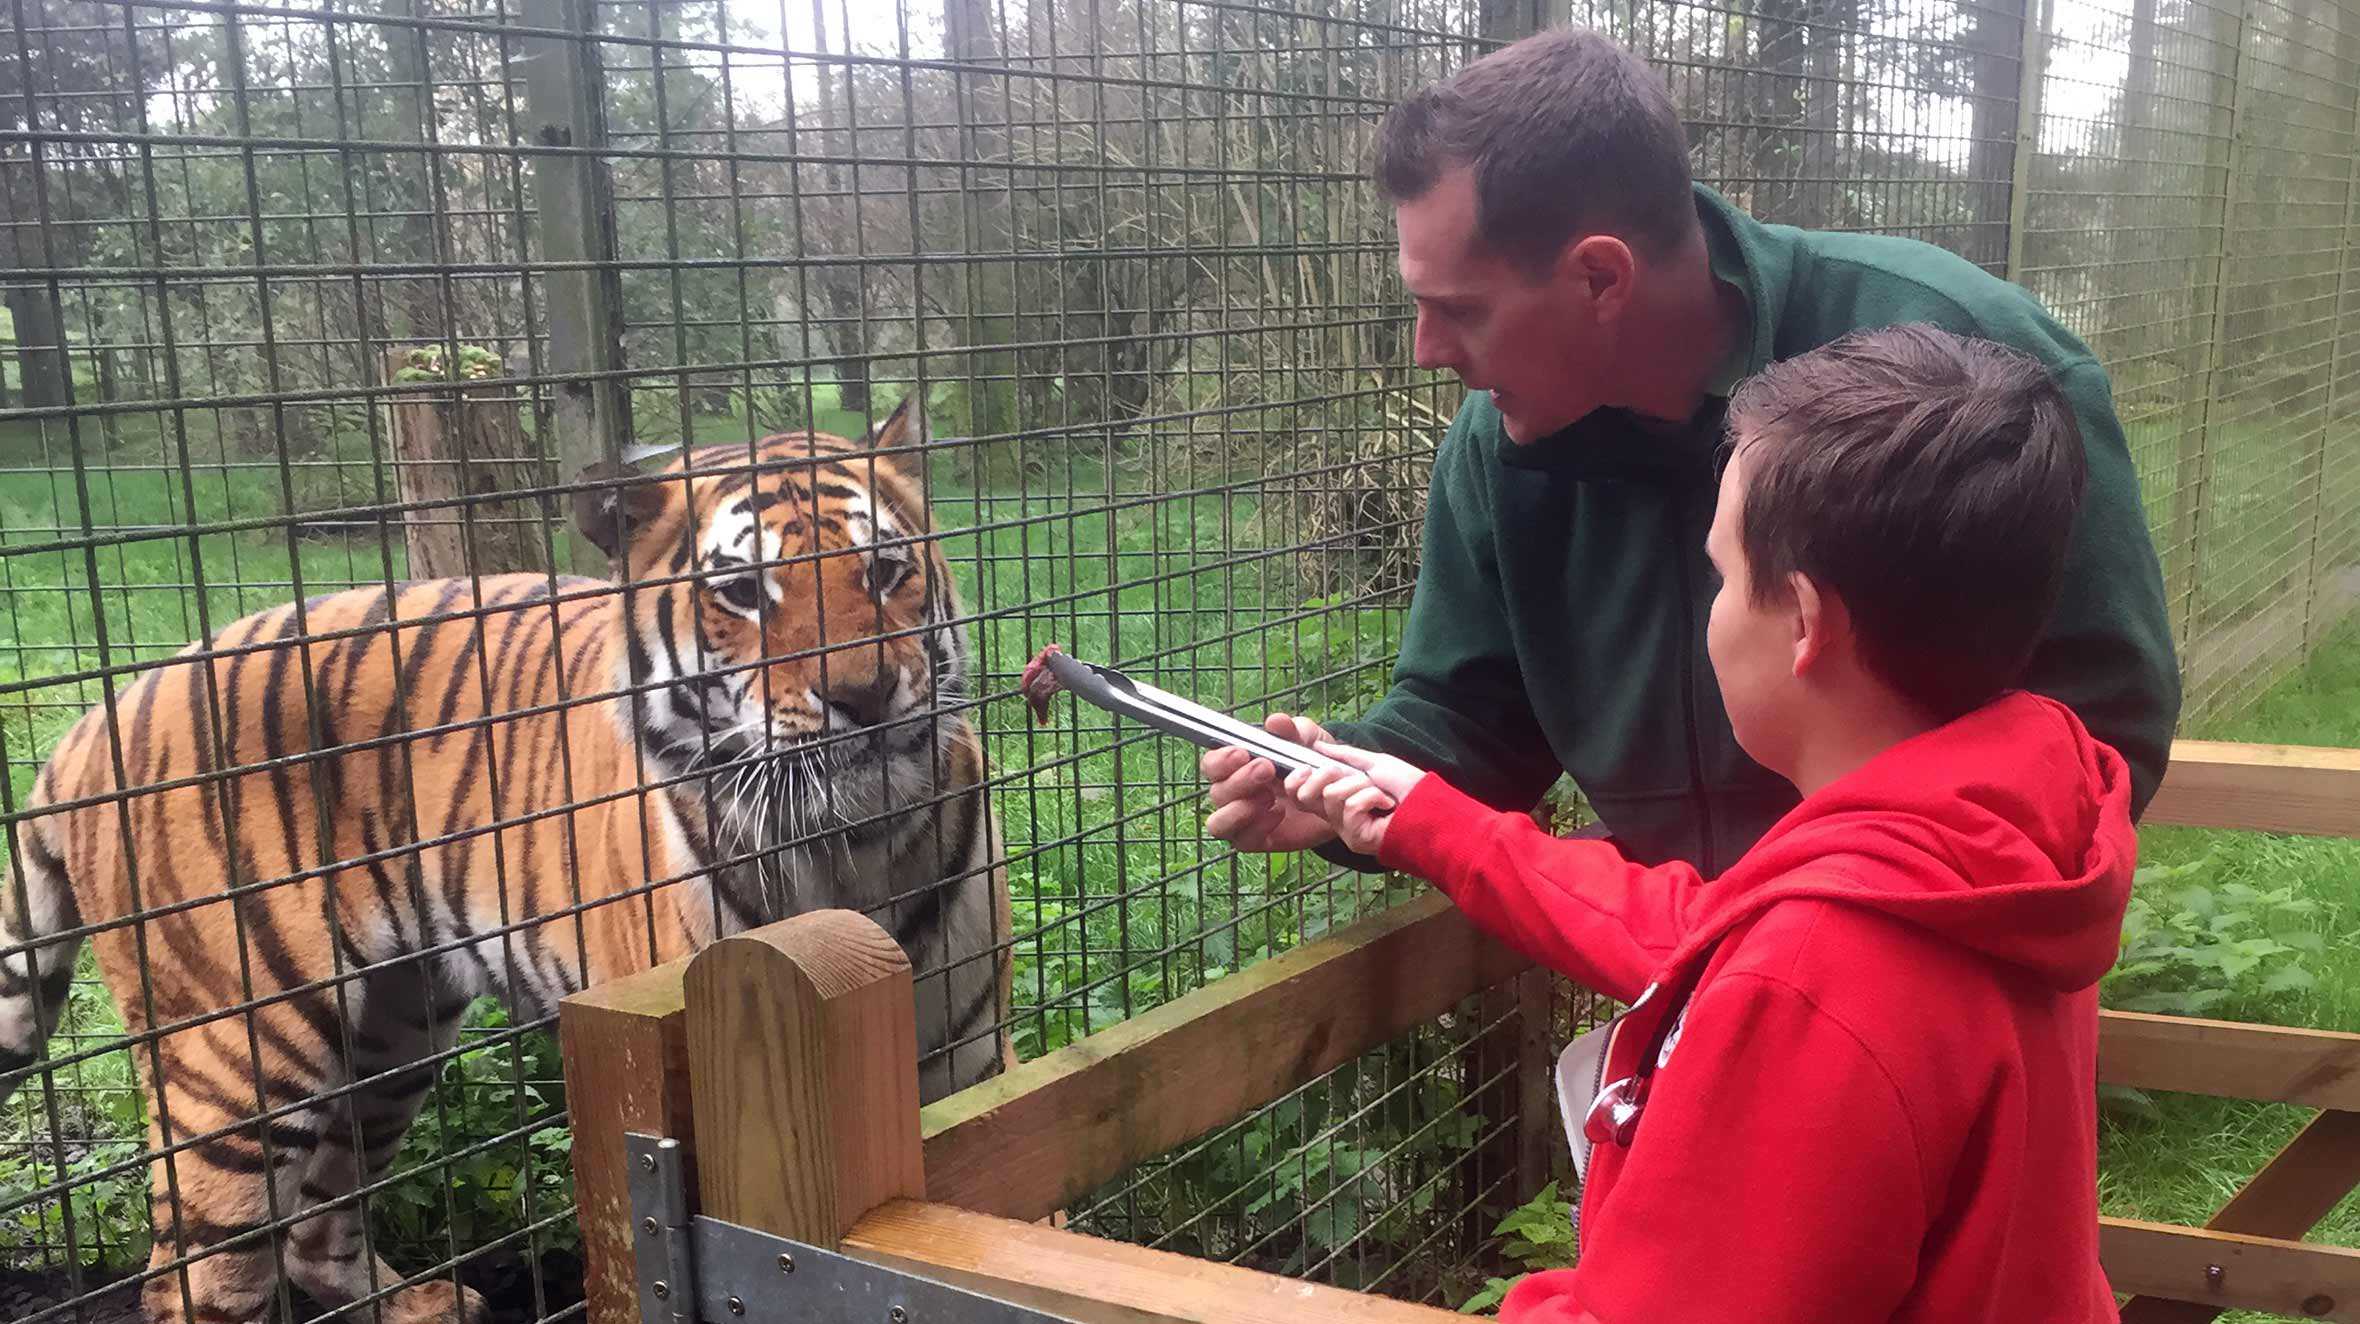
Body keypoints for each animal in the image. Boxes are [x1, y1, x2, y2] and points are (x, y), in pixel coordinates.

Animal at [0, 401, 1005, 1321]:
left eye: (885, 571)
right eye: (747, 593)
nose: (865, 694)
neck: (856, 847)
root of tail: (101, 712)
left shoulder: (962, 1061)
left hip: (392, 1031)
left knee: (315, 1225)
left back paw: (425, 1305)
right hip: (239, 1052)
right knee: (191, 1273)